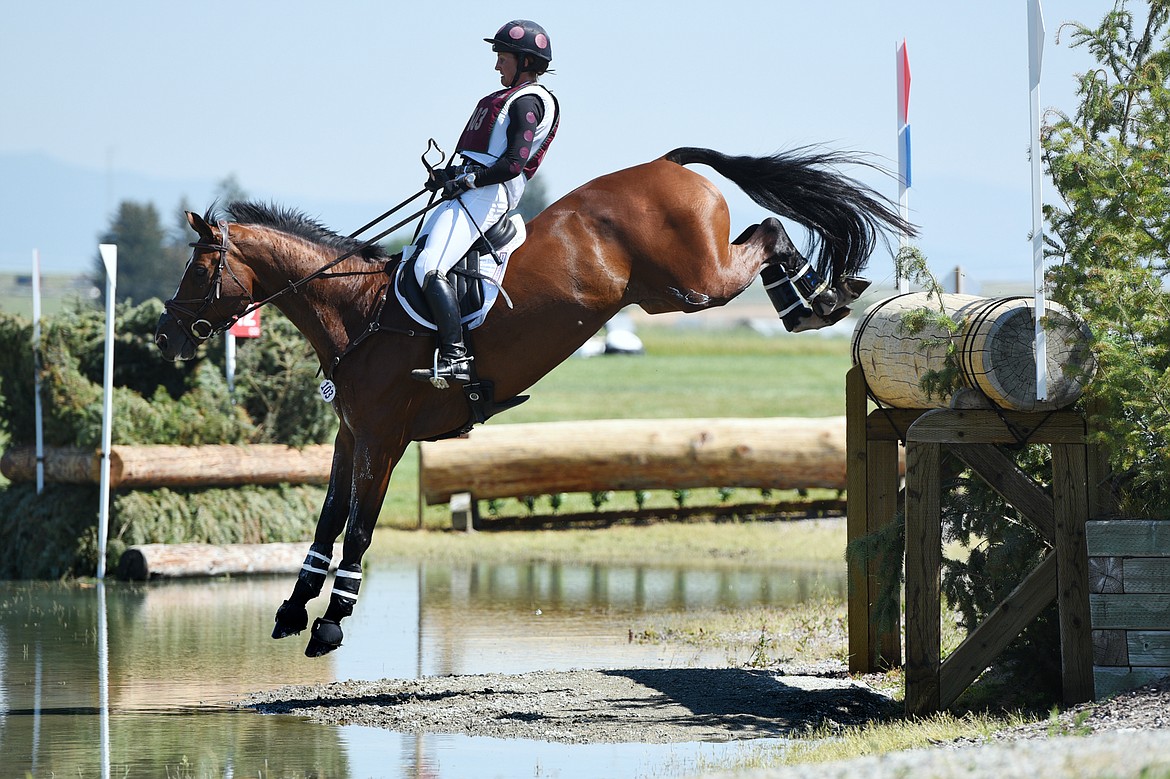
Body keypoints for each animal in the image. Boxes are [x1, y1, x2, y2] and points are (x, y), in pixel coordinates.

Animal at [153, 147, 912, 655]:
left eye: (196, 267)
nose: (165, 334)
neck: (359, 311)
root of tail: (666, 163)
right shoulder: (350, 435)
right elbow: (327, 520)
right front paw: (292, 609)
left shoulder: (384, 439)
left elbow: (360, 528)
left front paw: (332, 622)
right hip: (670, 290)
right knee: (761, 234)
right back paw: (815, 297)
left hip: (695, 283)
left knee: (766, 236)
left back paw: (816, 300)